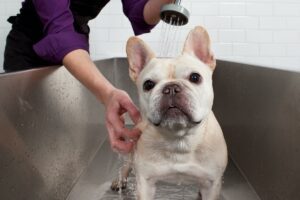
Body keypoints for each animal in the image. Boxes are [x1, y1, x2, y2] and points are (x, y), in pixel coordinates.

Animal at [110, 26, 227, 200]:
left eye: (195, 77)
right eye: (148, 84)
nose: (171, 88)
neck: (179, 139)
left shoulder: (211, 184)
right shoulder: (145, 183)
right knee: (127, 164)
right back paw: (120, 180)